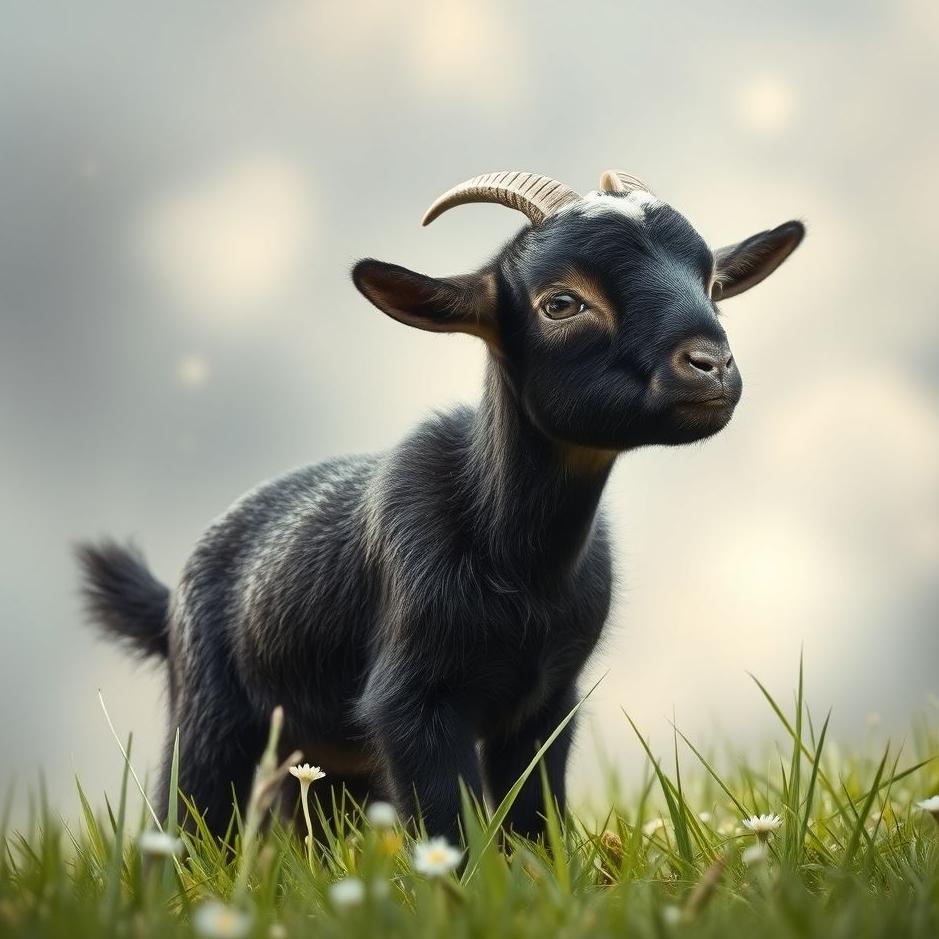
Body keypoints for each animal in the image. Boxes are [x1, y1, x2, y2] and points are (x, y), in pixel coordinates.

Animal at [77, 170, 804, 842]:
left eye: (712, 285)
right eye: (561, 302)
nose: (711, 365)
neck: (518, 562)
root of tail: (168, 599)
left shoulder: (547, 702)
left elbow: (532, 821)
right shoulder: (409, 703)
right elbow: (447, 827)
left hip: (324, 759)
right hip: (212, 711)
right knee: (188, 815)